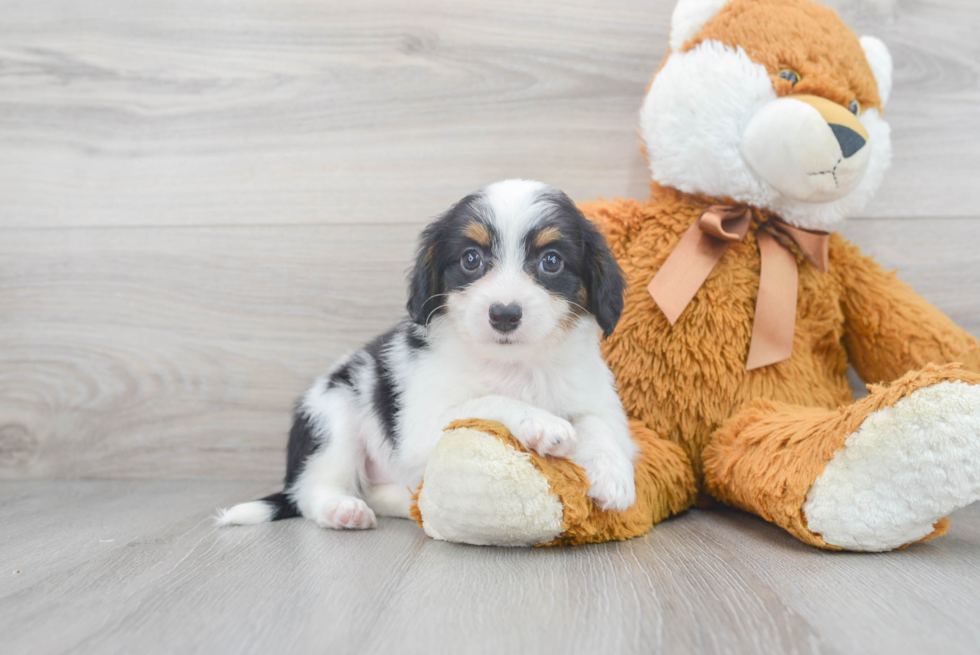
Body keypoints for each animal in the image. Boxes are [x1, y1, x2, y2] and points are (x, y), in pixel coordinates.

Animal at [216, 181, 636, 532]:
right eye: (471, 259)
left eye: (551, 261)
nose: (504, 314)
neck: (516, 365)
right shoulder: (422, 426)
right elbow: (488, 401)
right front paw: (540, 422)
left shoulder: (596, 398)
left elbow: (599, 425)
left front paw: (614, 474)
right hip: (332, 412)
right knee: (313, 489)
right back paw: (342, 509)